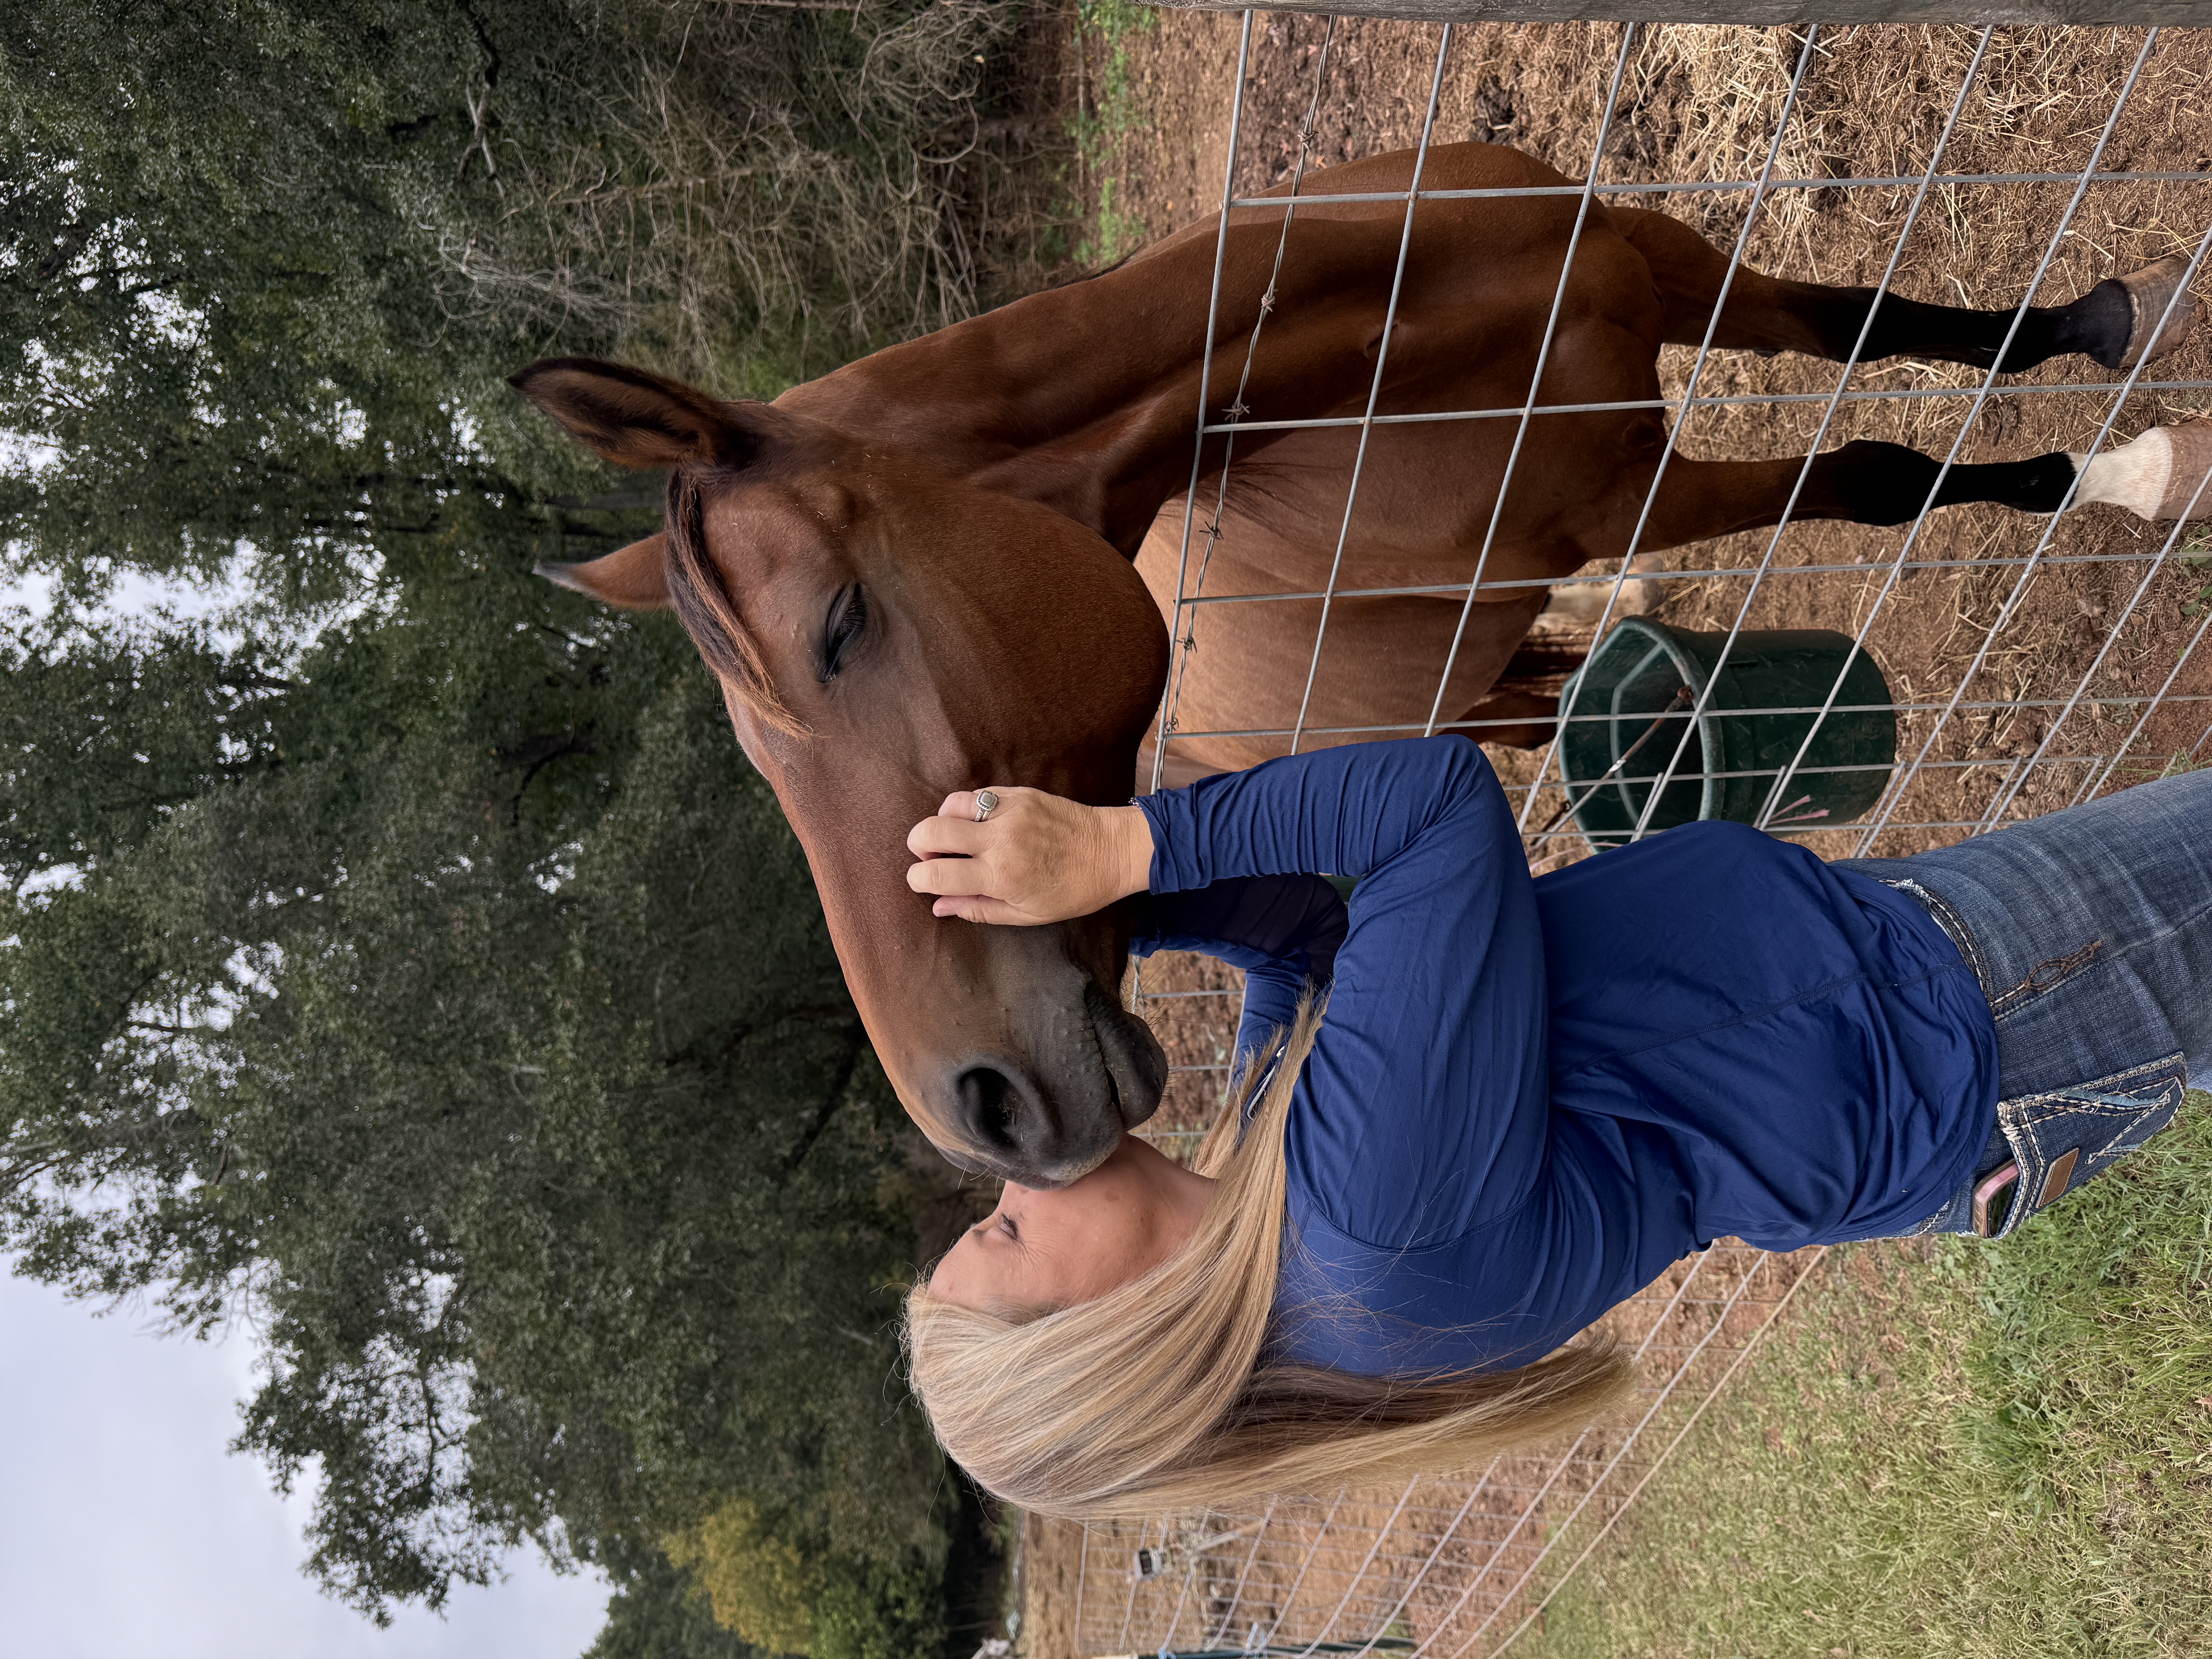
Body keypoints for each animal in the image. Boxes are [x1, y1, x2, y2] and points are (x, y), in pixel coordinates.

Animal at [511, 140, 2208, 1189]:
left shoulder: (1660, 258)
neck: (1399, 333)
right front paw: (2126, 476)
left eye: (840, 630)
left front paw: (2095, 341)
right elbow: (1876, 471)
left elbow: (1876, 328)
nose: (981, 1110)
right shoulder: (1641, 492)